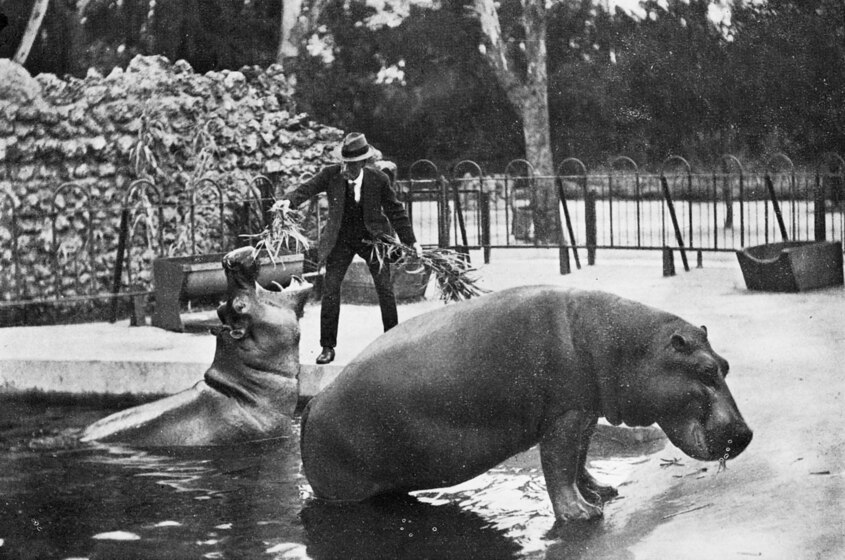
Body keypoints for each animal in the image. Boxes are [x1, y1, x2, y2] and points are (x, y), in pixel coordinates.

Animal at [300, 286, 753, 523]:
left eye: (726, 365)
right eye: (706, 371)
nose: (746, 434)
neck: (628, 347)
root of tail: (311, 405)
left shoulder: (584, 413)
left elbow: (580, 459)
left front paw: (602, 492)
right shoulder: (565, 416)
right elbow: (558, 464)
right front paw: (583, 514)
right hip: (346, 491)